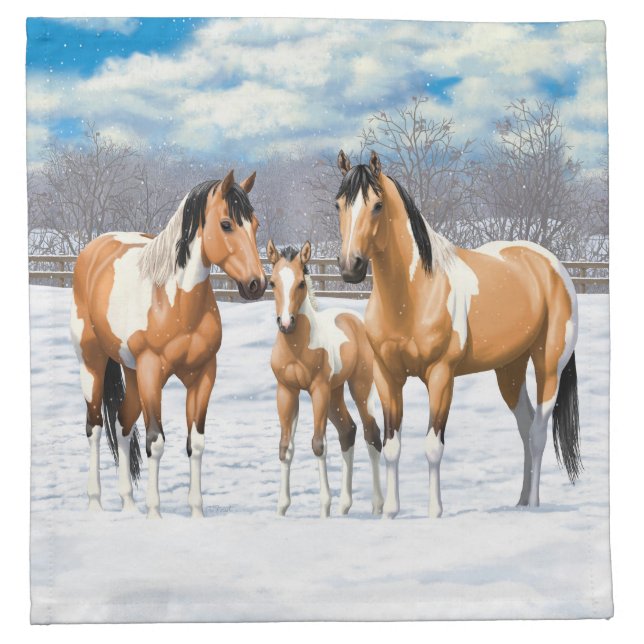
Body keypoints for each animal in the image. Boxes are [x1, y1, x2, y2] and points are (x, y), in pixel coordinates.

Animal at [70, 170, 267, 518]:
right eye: (226, 224)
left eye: (255, 224)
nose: (257, 284)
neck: (174, 301)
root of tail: (93, 250)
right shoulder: (152, 372)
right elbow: (156, 442)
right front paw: (155, 513)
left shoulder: (203, 374)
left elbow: (196, 443)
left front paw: (196, 513)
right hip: (92, 362)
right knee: (94, 427)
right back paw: (95, 503)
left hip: (131, 372)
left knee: (122, 423)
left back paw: (128, 504)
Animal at [266, 240, 384, 518]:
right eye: (272, 282)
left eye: (301, 283)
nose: (286, 323)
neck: (297, 347)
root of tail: (354, 320)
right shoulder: (286, 391)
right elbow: (285, 446)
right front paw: (281, 508)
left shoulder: (317, 389)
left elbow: (318, 444)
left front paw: (324, 508)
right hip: (335, 394)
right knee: (348, 431)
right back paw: (344, 506)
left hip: (359, 388)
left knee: (371, 433)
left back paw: (377, 506)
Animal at [334, 150, 581, 519]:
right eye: (338, 204)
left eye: (377, 205)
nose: (351, 267)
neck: (414, 294)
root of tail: (552, 265)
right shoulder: (387, 376)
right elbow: (392, 445)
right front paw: (390, 512)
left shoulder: (441, 376)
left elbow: (433, 446)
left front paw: (435, 512)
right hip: (509, 370)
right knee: (524, 427)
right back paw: (521, 501)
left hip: (548, 367)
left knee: (537, 432)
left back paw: (535, 504)